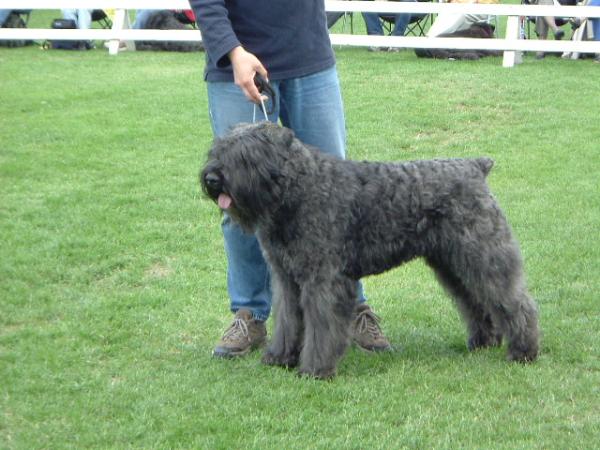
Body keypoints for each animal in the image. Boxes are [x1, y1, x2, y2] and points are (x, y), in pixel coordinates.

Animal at [200, 121, 540, 378]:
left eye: (247, 155)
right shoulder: (287, 279)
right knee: (474, 301)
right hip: (452, 263)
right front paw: (280, 357)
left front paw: (314, 370)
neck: (298, 189)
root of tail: (476, 166)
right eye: (217, 149)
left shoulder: (323, 280)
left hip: (483, 256)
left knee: (515, 302)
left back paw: (523, 351)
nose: (212, 178)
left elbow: (321, 326)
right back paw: (483, 340)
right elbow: (287, 320)